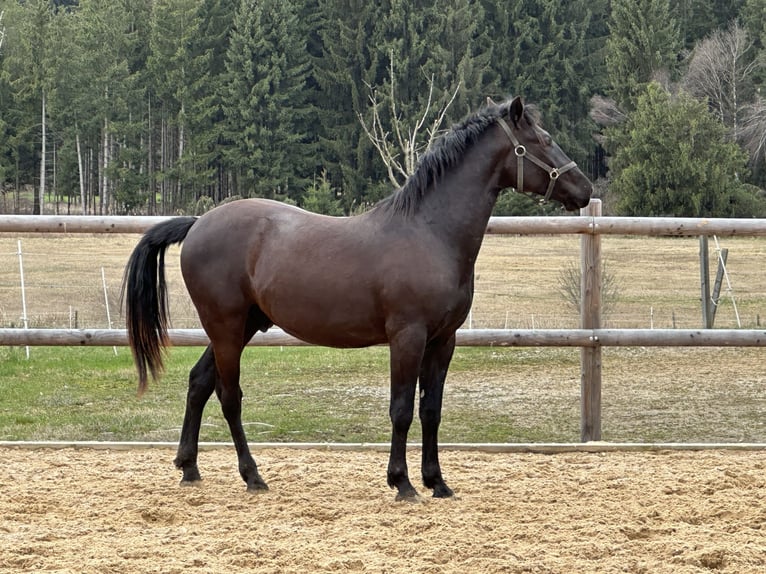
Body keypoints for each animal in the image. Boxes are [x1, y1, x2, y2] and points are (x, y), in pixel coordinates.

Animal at [124, 97, 592, 502]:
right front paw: (402, 483)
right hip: (226, 327)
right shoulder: (408, 337)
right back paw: (252, 475)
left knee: (199, 383)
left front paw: (437, 483)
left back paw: (189, 467)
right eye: (542, 140)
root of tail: (199, 222)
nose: (584, 188)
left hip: (242, 327)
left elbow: (432, 410)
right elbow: (401, 409)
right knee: (229, 395)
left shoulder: (444, 340)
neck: (430, 233)